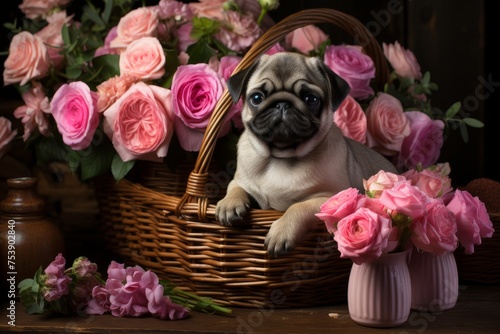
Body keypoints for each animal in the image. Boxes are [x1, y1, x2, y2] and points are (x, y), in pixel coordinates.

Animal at [216, 51, 398, 256]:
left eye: (311, 99)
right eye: (256, 98)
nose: (282, 104)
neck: (280, 157)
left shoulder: (331, 199)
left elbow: (298, 207)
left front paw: (282, 231)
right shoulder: (241, 180)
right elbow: (235, 187)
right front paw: (228, 204)